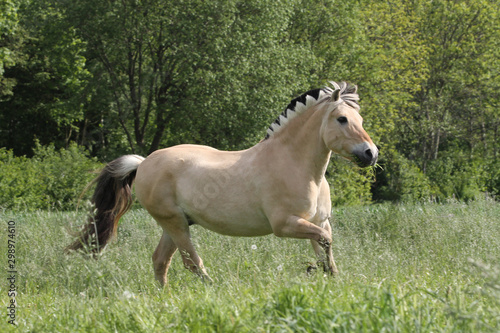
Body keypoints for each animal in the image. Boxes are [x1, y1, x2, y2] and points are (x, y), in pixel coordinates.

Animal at [67, 81, 378, 284]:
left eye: (360, 118)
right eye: (342, 119)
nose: (371, 153)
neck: (297, 165)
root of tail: (143, 163)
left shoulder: (318, 221)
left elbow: (325, 246)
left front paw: (330, 277)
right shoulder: (285, 225)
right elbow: (325, 243)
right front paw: (315, 271)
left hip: (174, 224)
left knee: (160, 261)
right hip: (175, 224)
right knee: (191, 263)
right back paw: (212, 287)